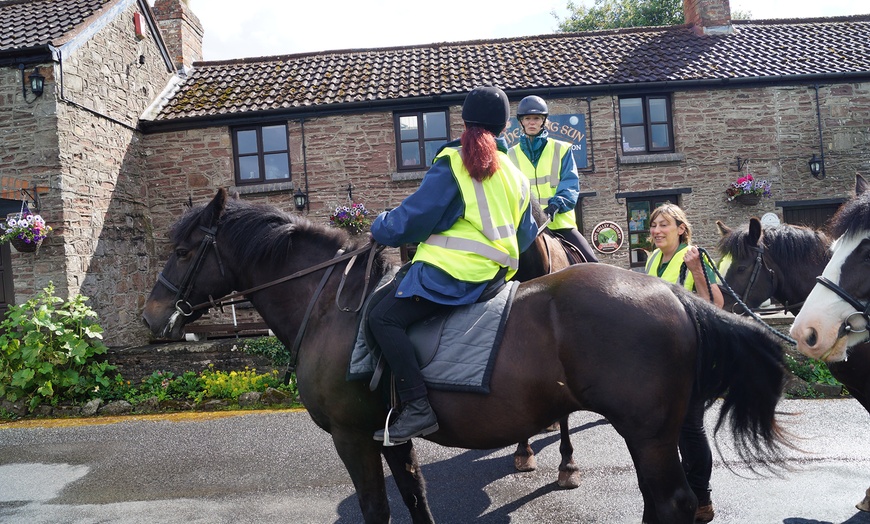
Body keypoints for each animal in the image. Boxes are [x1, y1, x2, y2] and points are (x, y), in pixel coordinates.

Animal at [141, 189, 792, 524]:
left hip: (647, 432)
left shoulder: (353, 438)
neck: (331, 307)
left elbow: (377, 510)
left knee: (669, 503)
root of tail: (673, 293)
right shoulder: (389, 436)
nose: (151, 317)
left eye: (184, 250)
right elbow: (414, 500)